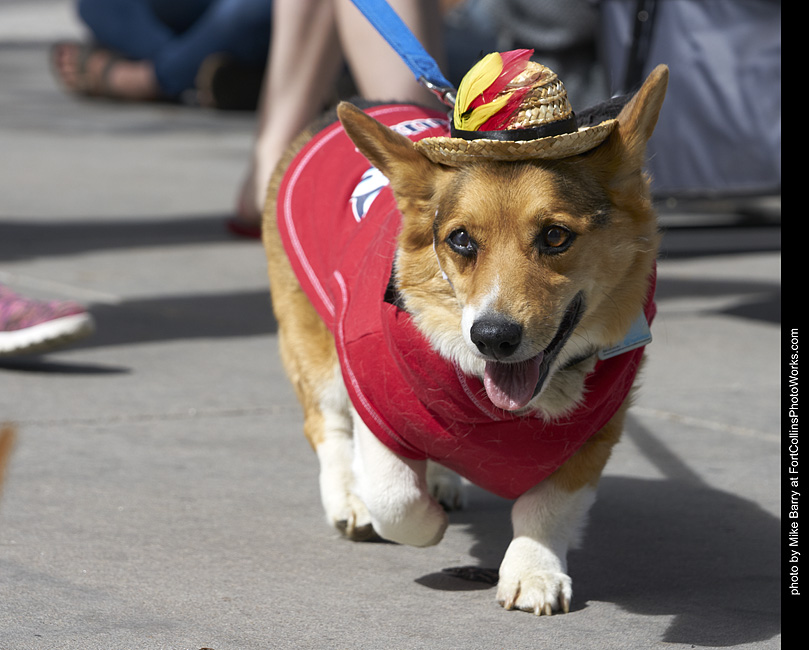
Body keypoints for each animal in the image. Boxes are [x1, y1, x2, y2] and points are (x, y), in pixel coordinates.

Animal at [262, 57, 668, 616]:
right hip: (311, 341)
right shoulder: (372, 395)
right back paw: (349, 497)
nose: (493, 336)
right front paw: (421, 520)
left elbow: (548, 507)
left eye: (555, 236)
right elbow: (395, 497)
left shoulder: (596, 433)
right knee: (327, 424)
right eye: (460, 240)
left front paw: (533, 572)